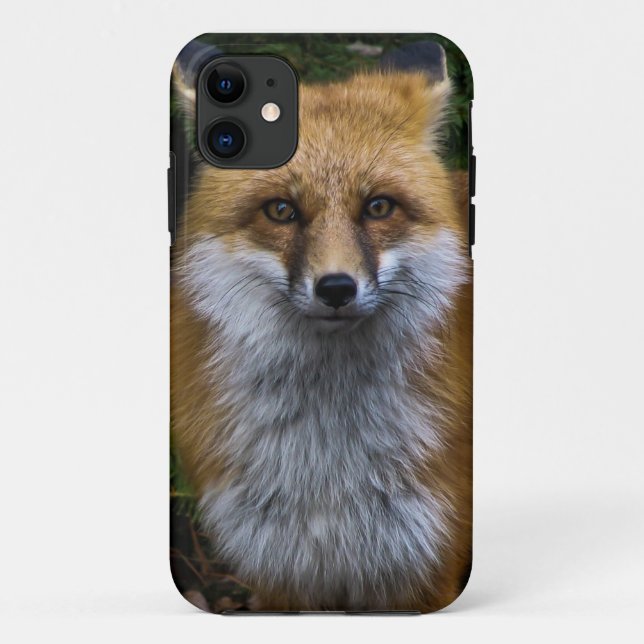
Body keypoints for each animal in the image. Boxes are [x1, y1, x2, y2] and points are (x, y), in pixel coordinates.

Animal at [171, 52, 472, 612]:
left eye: (378, 206)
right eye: (280, 211)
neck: (327, 470)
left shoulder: (428, 562)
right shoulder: (279, 569)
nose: (336, 288)